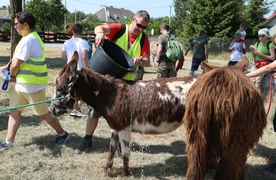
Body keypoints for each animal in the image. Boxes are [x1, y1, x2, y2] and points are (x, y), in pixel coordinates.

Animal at [50, 51, 196, 176]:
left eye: (59, 88)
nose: (52, 110)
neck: (112, 96)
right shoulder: (115, 128)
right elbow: (112, 148)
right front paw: (106, 168)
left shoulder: (124, 128)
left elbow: (125, 152)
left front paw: (125, 173)